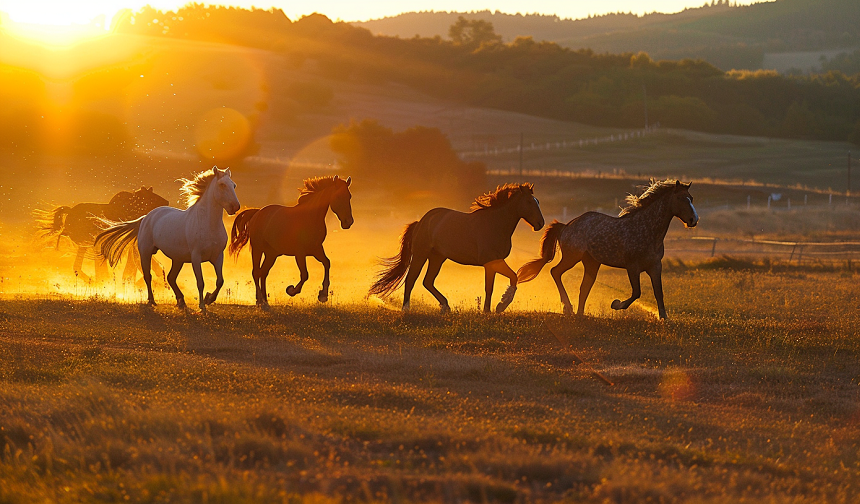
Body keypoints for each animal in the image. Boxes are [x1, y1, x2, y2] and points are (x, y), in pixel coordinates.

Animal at [36, 188, 169, 284]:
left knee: (78, 267)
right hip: (89, 245)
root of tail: (69, 212)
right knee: (84, 267)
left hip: (87, 246)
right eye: (152, 197)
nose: (166, 202)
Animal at [95, 168, 240, 312]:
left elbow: (220, 281)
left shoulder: (218, 256)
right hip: (146, 253)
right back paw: (152, 301)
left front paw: (209, 298)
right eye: (222, 185)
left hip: (178, 259)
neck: (208, 224)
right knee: (148, 276)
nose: (235, 207)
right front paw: (202, 306)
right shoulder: (196, 257)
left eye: (234, 185)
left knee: (171, 277)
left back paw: (181, 302)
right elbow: (200, 282)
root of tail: (146, 217)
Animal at [228, 175, 352, 310]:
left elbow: (327, 263)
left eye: (349, 196)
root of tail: (257, 213)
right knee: (256, 272)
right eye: (338, 197)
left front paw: (323, 295)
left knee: (263, 273)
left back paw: (265, 301)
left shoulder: (316, 249)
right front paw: (291, 290)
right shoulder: (300, 253)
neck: (310, 217)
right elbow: (305, 274)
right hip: (257, 250)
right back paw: (260, 301)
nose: (348, 222)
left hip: (272, 254)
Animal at [370, 183, 544, 314]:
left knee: (428, 281)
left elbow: (497, 284)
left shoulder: (493, 263)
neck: (495, 224)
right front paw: (499, 306)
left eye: (538, 201)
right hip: (421, 255)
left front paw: (490, 309)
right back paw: (406, 308)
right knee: (411, 278)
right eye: (529, 202)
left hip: (437, 257)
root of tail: (421, 222)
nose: (540, 223)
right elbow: (505, 280)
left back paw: (446, 306)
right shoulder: (491, 262)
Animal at [512, 178, 696, 318]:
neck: (646, 229)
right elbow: (636, 292)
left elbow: (659, 292)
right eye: (681, 199)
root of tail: (566, 226)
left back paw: (579, 313)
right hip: (572, 257)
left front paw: (663, 317)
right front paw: (616, 304)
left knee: (584, 287)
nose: (694, 219)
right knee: (555, 272)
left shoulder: (655, 266)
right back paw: (568, 308)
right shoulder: (632, 267)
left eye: (691, 198)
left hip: (591, 263)